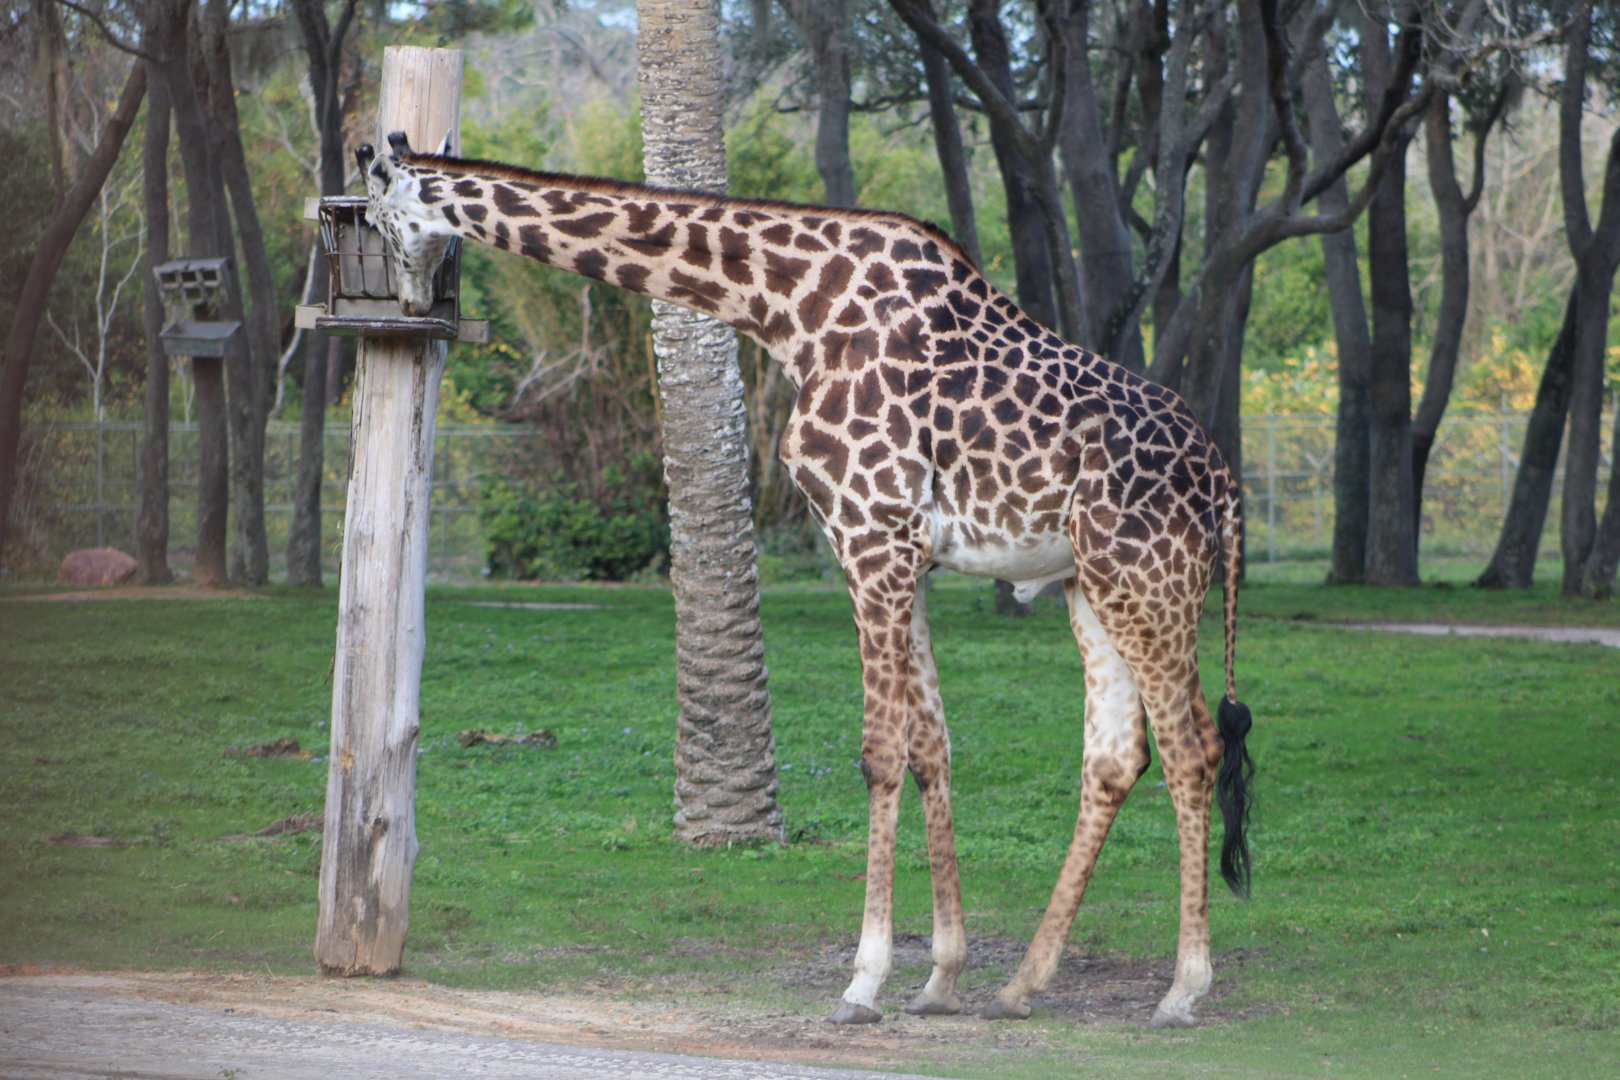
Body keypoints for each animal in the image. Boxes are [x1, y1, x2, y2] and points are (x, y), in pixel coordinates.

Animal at [359, 132, 1255, 1029]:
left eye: (373, 219)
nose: (410, 301)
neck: (790, 308)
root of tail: (1222, 479)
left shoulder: (870, 539)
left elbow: (881, 753)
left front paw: (863, 982)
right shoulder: (905, 555)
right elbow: (932, 748)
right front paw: (940, 977)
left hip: (1148, 579)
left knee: (1191, 749)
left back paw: (1183, 990)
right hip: (1093, 586)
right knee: (1117, 756)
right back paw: (1021, 986)